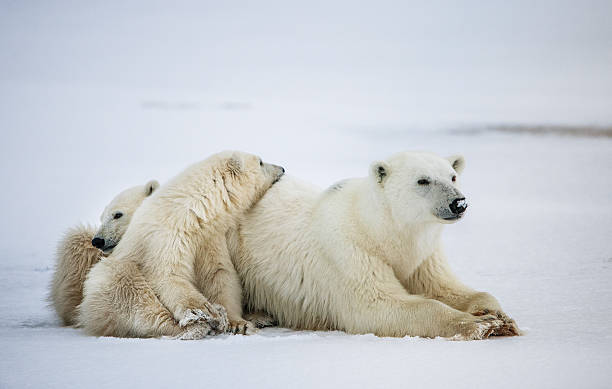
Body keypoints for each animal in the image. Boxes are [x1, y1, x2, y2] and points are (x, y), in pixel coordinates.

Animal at [78, 150, 284, 338]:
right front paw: (204, 310)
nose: (282, 168)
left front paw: (238, 323)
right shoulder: (167, 234)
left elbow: (219, 275)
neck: (193, 209)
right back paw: (189, 328)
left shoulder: (209, 237)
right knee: (133, 294)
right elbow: (168, 275)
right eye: (260, 161)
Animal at [227, 150, 520, 338]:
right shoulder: (349, 251)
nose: (458, 203)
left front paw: (497, 314)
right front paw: (482, 324)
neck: (378, 230)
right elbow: (377, 306)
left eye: (452, 176)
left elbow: (444, 287)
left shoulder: (423, 256)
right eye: (423, 180)